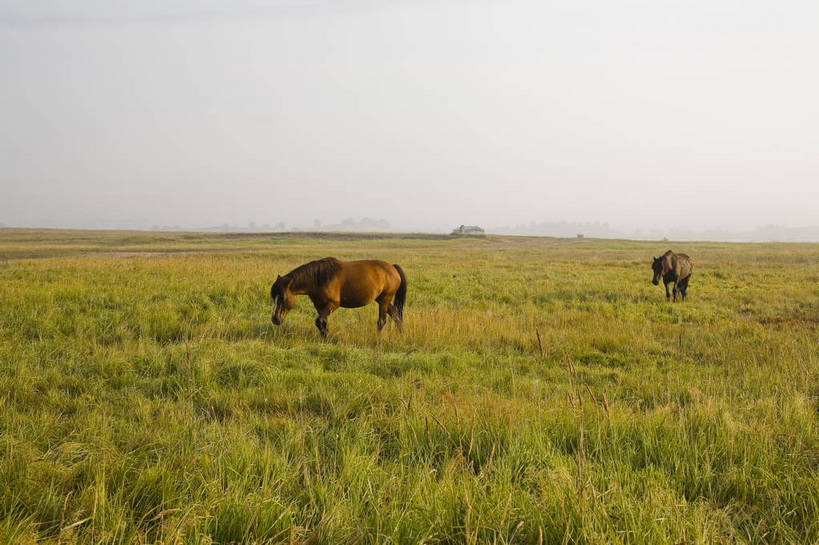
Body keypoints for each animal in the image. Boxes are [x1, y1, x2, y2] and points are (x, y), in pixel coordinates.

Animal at [270, 256, 408, 336]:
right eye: (273, 297)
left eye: (282, 297)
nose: (275, 319)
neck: (318, 278)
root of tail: (393, 267)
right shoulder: (319, 306)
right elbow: (323, 323)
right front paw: (325, 339)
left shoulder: (333, 304)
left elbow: (319, 321)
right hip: (381, 300)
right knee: (396, 315)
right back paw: (400, 334)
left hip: (385, 299)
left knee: (381, 321)